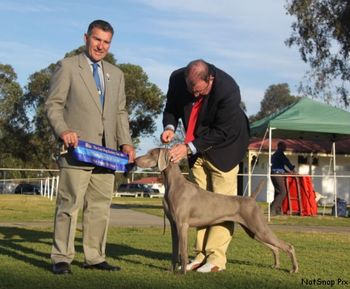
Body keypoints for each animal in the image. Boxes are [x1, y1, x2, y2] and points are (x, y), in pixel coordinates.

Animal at [134, 147, 298, 274]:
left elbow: (183, 251)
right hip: (254, 232)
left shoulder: (182, 225)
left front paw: (182, 272)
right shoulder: (174, 225)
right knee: (275, 247)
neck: (173, 185)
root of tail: (251, 198)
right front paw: (171, 270)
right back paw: (276, 265)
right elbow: (175, 251)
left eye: (151, 154)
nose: (135, 160)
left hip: (258, 227)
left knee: (288, 246)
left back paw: (294, 269)